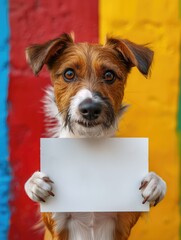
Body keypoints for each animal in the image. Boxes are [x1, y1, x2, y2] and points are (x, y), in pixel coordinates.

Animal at [24, 33, 167, 240]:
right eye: (69, 74)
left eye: (109, 75)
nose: (90, 109)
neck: (89, 146)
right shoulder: (57, 225)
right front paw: (34, 183)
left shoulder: (123, 222)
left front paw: (155, 182)